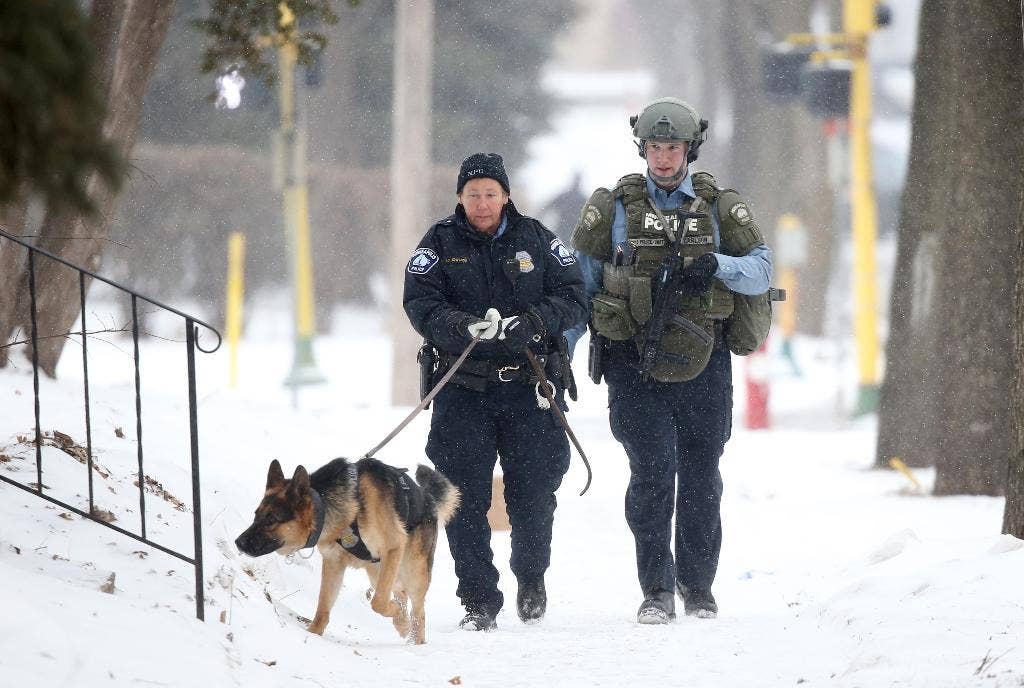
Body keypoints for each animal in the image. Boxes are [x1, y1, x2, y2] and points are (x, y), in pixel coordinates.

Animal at [235, 456, 460, 647]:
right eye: (256, 515)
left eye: (272, 520)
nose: (238, 542)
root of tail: (428, 498)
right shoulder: (333, 563)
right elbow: (323, 606)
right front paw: (313, 634)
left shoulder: (393, 546)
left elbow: (378, 603)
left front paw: (398, 616)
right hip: (379, 572)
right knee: (400, 594)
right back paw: (402, 624)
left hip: (412, 570)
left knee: (417, 610)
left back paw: (414, 639)